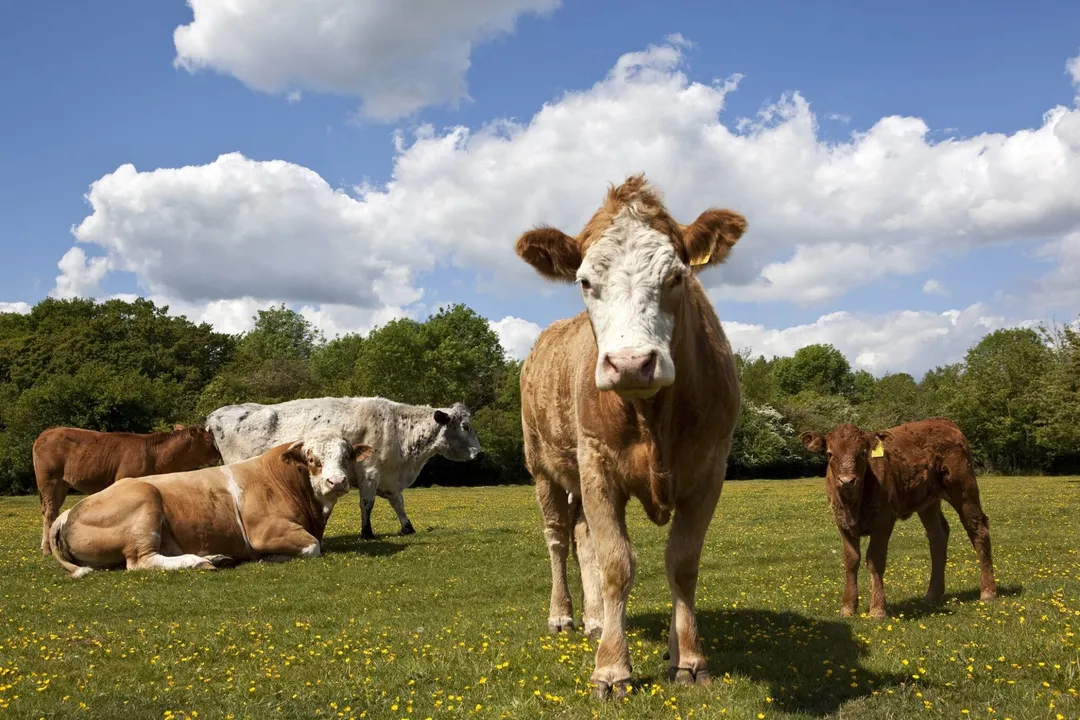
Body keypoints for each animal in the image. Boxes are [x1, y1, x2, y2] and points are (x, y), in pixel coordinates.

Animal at [33, 423, 222, 555]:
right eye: (208, 440)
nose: (219, 454)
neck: (157, 457)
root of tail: (46, 433)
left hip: (61, 485)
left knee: (50, 511)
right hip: (49, 481)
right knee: (49, 512)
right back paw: (48, 549)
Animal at [49, 433, 374, 578]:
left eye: (345, 456)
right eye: (311, 459)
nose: (337, 481)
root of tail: (68, 513)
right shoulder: (265, 531)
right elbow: (312, 547)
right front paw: (271, 557)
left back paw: (217, 557)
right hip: (145, 501)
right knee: (141, 561)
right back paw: (200, 561)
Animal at [206, 397, 484, 538]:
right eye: (465, 426)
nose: (481, 454)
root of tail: (215, 415)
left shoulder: (389, 478)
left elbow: (399, 503)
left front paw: (407, 527)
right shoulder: (370, 472)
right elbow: (367, 504)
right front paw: (367, 533)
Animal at [515, 174, 747, 698]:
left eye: (677, 277)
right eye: (584, 281)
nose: (631, 363)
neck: (652, 416)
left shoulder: (710, 468)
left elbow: (682, 562)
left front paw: (687, 657)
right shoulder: (597, 464)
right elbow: (617, 563)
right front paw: (611, 670)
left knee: (582, 537)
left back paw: (597, 619)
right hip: (543, 468)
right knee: (558, 539)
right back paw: (563, 615)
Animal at [799, 418, 997, 619]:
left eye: (863, 452)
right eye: (829, 453)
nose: (847, 480)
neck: (853, 505)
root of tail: (942, 421)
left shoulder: (883, 522)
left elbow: (875, 560)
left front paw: (877, 609)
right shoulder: (842, 523)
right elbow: (851, 560)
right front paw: (848, 607)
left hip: (964, 489)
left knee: (978, 529)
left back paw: (988, 592)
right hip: (927, 503)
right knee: (938, 535)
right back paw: (932, 594)